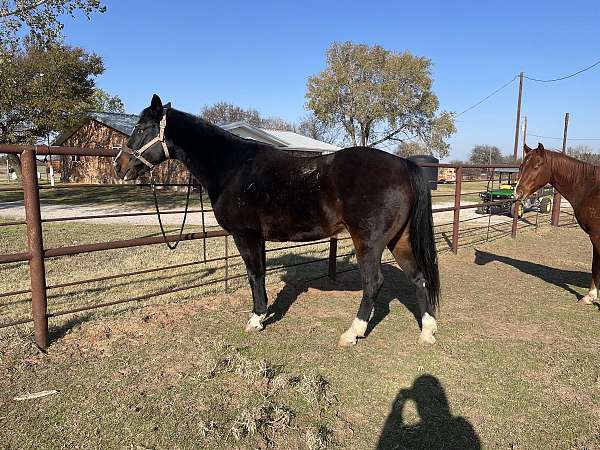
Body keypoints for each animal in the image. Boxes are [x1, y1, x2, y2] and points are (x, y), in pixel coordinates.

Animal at [113, 95, 440, 346]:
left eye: (141, 128)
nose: (119, 165)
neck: (233, 167)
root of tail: (404, 165)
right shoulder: (256, 238)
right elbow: (258, 274)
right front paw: (263, 313)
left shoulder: (245, 235)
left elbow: (254, 275)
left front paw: (256, 319)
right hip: (399, 239)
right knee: (418, 278)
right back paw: (427, 331)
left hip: (369, 242)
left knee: (373, 283)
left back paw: (352, 333)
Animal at [516, 143, 600, 306]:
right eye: (522, 166)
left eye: (536, 166)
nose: (518, 192)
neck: (591, 189)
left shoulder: (596, 236)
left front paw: (590, 297)